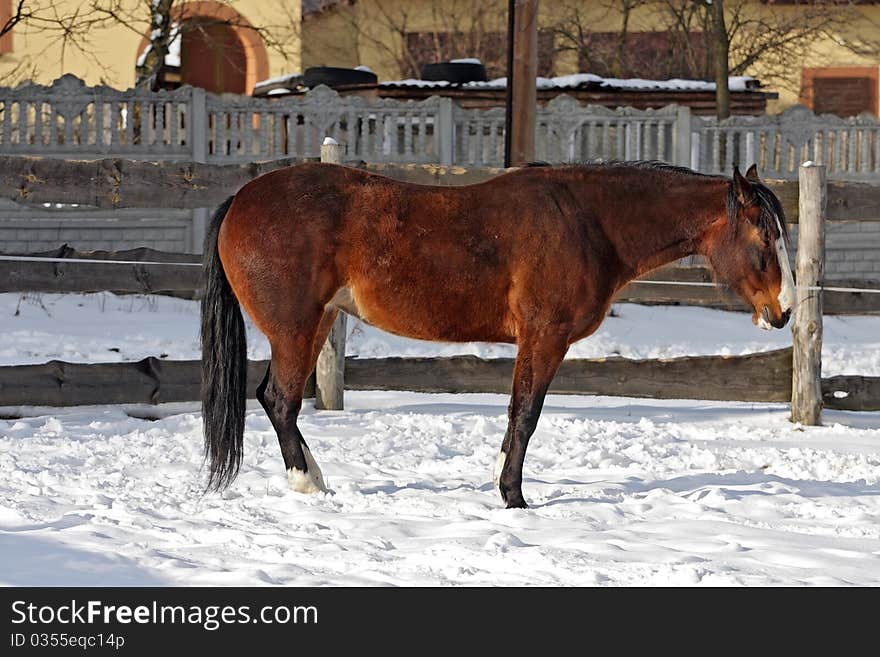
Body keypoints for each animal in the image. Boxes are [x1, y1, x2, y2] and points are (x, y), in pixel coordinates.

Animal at [203, 159, 796, 508]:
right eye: (763, 237)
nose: (785, 310)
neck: (589, 221)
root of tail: (240, 199)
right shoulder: (544, 338)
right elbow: (526, 413)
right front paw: (513, 496)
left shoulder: (533, 342)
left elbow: (517, 413)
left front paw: (499, 481)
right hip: (297, 329)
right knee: (280, 399)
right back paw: (308, 482)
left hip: (318, 323)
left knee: (277, 399)